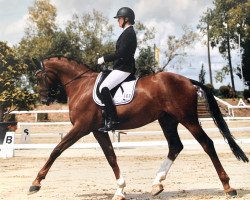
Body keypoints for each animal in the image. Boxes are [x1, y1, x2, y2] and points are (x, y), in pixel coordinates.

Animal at [29, 56, 248, 200]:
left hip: (188, 119)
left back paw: (228, 187)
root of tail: (187, 80)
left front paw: (36, 183)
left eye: (39, 77)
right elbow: (111, 156)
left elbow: (57, 149)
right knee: (175, 146)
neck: (81, 86)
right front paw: (120, 190)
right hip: (167, 120)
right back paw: (156, 184)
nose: (44, 100)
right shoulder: (97, 130)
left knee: (207, 144)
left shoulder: (81, 127)